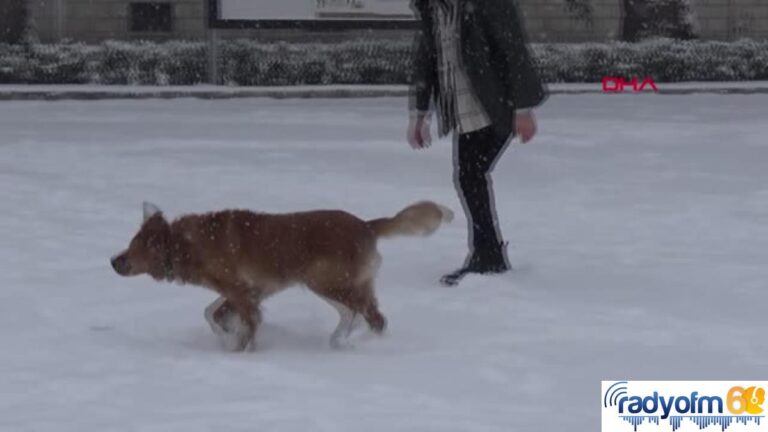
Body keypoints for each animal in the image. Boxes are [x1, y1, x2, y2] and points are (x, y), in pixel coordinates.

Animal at [111, 201, 452, 350]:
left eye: (133, 249)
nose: (113, 261)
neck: (185, 243)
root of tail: (366, 225)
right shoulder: (249, 290)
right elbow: (210, 313)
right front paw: (226, 333)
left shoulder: (240, 291)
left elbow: (240, 323)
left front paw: (236, 346)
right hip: (349, 284)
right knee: (371, 315)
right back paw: (356, 339)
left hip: (323, 281)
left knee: (357, 311)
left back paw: (345, 339)